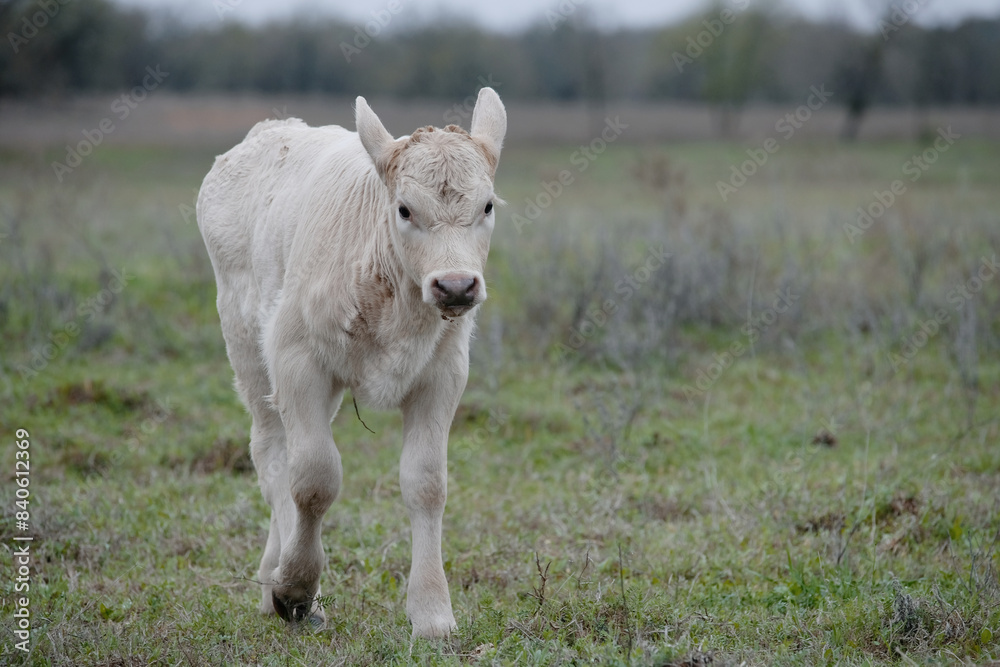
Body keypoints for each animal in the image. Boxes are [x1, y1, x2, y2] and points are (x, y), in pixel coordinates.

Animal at [196, 88, 506, 639]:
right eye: (404, 209)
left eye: (487, 205)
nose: (455, 286)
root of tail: (270, 129)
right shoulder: (295, 358)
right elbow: (314, 478)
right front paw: (296, 588)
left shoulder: (443, 374)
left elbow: (427, 483)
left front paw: (432, 612)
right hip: (246, 343)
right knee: (273, 453)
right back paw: (277, 577)